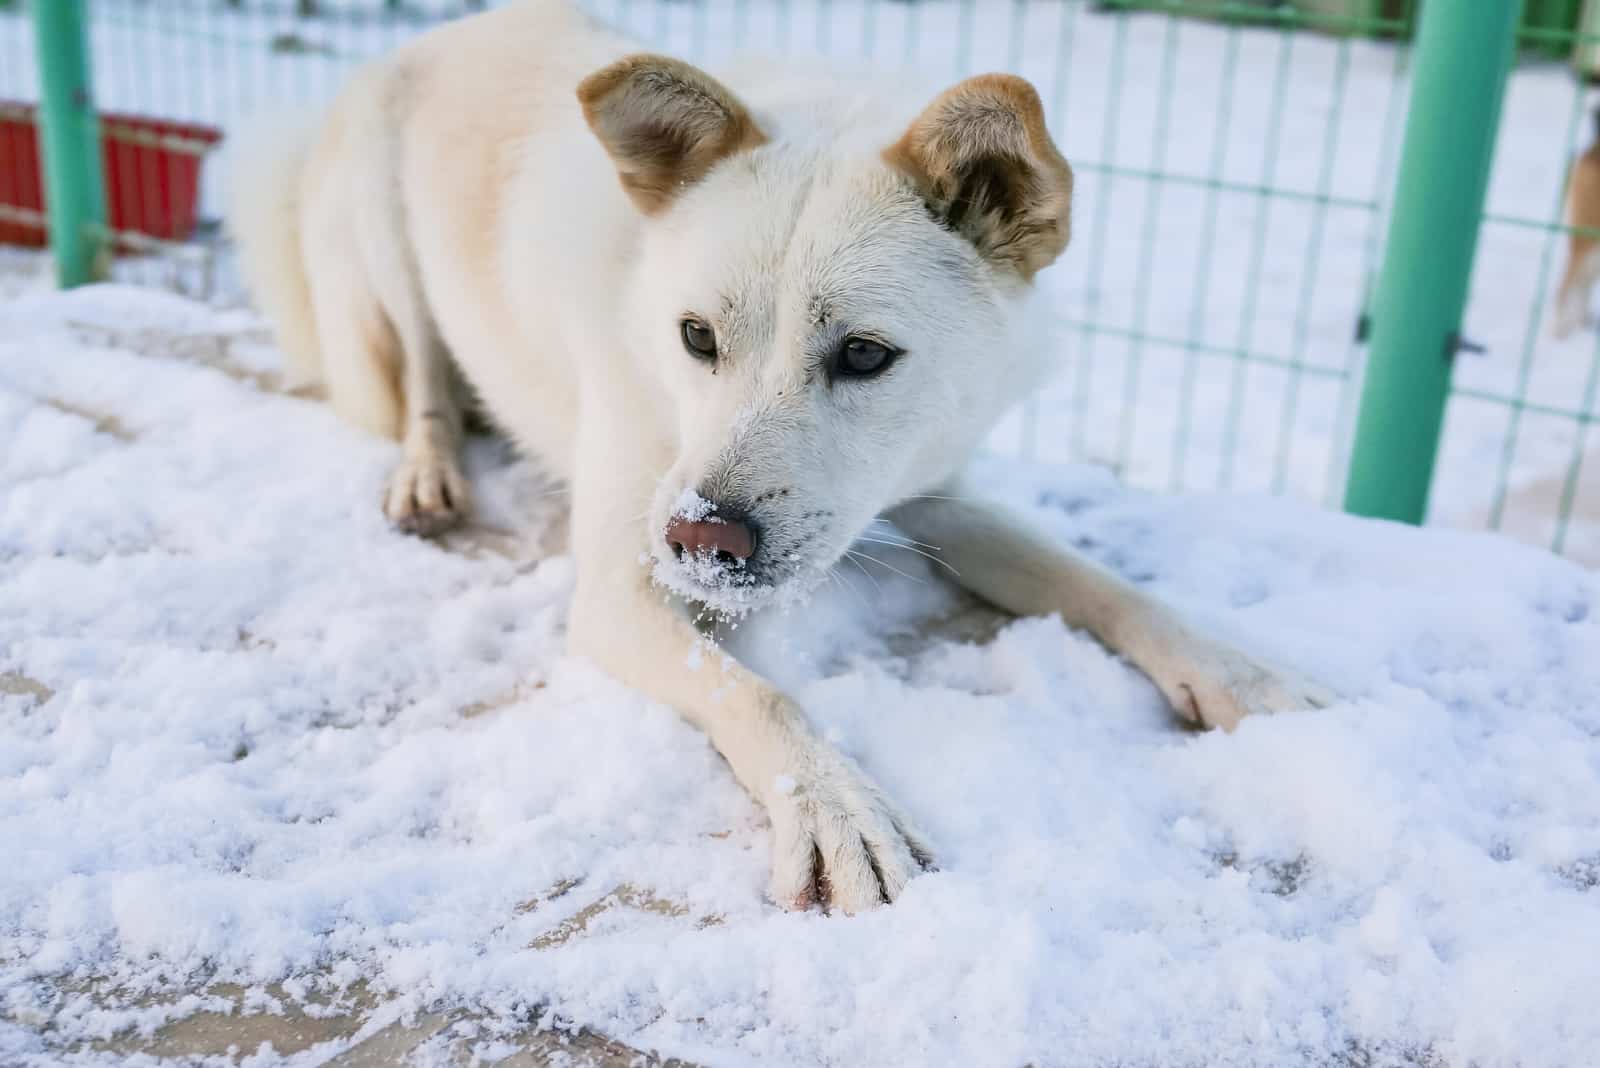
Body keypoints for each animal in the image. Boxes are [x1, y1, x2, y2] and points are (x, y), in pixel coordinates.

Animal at [225, 2, 1324, 920]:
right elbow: (761, 693)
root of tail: (447, 28)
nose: (699, 540)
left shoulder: (932, 495)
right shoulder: (618, 590)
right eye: (695, 337)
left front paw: (1242, 676)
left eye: (866, 356)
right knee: (419, 382)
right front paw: (837, 811)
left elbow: (1102, 583)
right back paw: (429, 472)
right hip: (381, 245)